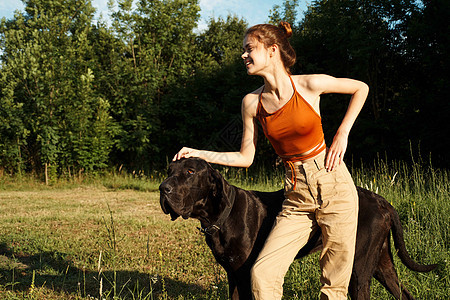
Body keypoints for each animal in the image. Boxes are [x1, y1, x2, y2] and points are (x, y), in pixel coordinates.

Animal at [159, 158, 436, 298]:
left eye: (190, 171)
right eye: (169, 170)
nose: (163, 188)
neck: (219, 217)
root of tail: (382, 201)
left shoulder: (245, 274)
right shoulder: (233, 275)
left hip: (357, 270)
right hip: (381, 264)